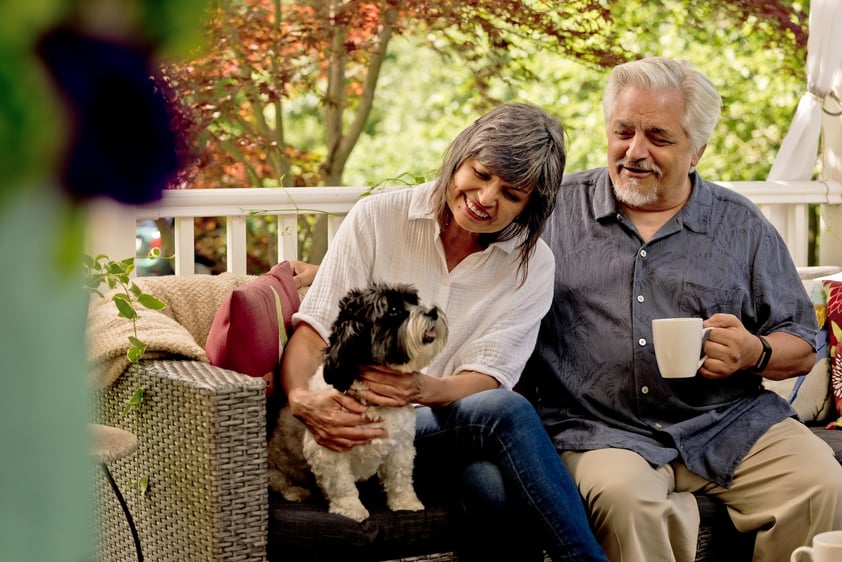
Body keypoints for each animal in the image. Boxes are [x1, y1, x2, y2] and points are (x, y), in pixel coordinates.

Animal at [270, 282, 450, 520]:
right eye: (393, 310)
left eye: (414, 301)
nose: (432, 311)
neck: (373, 404)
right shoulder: (328, 452)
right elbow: (342, 484)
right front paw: (351, 508)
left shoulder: (401, 446)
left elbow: (401, 478)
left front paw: (406, 503)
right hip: (276, 463)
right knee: (278, 480)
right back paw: (296, 491)